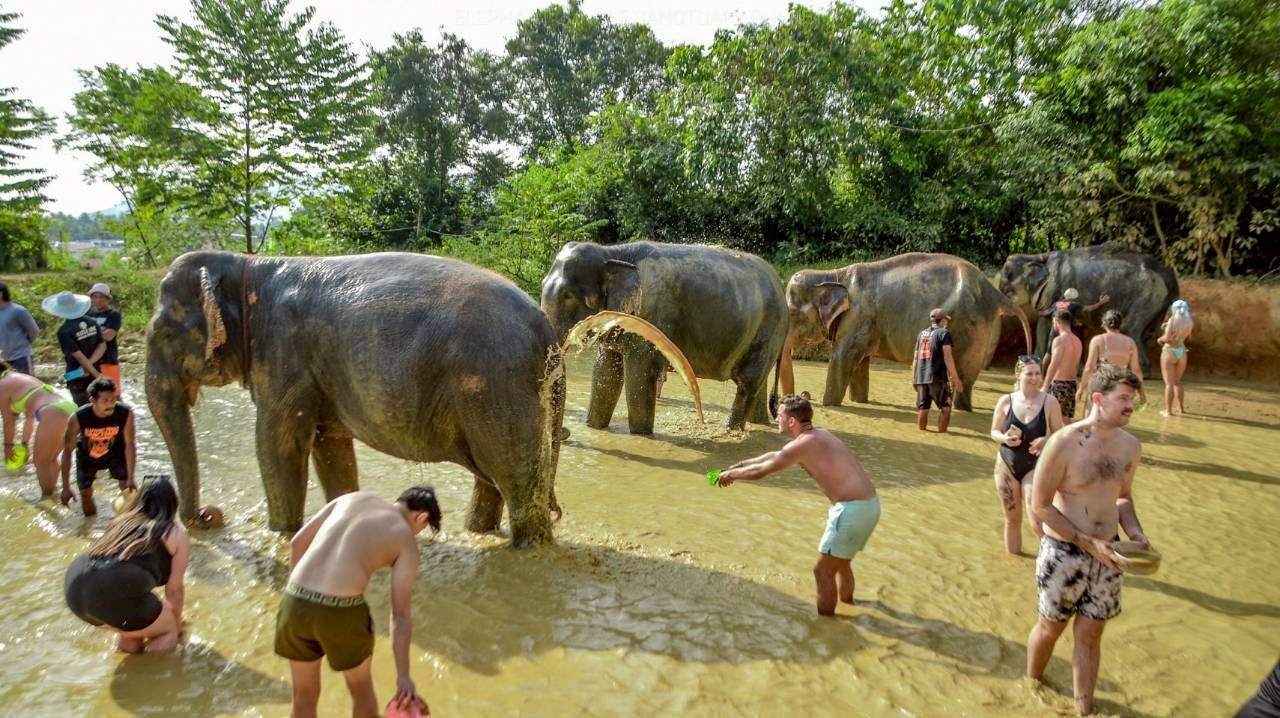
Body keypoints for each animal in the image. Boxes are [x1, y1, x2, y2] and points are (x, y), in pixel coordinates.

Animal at [144, 251, 566, 547]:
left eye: (163, 333)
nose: (211, 516)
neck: (246, 264)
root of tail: (547, 330)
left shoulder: (283, 356)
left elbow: (276, 445)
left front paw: (281, 536)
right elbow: (331, 451)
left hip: (498, 385)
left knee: (517, 482)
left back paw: (528, 552)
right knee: (493, 480)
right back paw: (480, 534)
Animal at [540, 241, 788, 434]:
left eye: (568, 295)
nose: (567, 431)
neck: (613, 252)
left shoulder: (650, 318)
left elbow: (639, 376)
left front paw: (641, 435)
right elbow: (606, 371)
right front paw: (594, 427)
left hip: (770, 328)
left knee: (748, 383)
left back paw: (730, 431)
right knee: (757, 385)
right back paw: (758, 424)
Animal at [782, 253, 1032, 412]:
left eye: (792, 313)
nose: (802, 396)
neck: (833, 274)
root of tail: (994, 292)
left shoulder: (857, 316)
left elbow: (842, 358)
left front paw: (829, 405)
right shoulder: (862, 322)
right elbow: (860, 364)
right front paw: (860, 401)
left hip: (971, 327)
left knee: (964, 374)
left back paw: (959, 410)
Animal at [995, 245, 1179, 375]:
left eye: (1007, 287)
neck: (1039, 256)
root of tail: (1169, 275)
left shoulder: (1057, 287)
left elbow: (1047, 324)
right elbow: (1051, 323)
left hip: (1149, 294)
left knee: (1131, 327)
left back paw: (1138, 372)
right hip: (1159, 301)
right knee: (1150, 332)